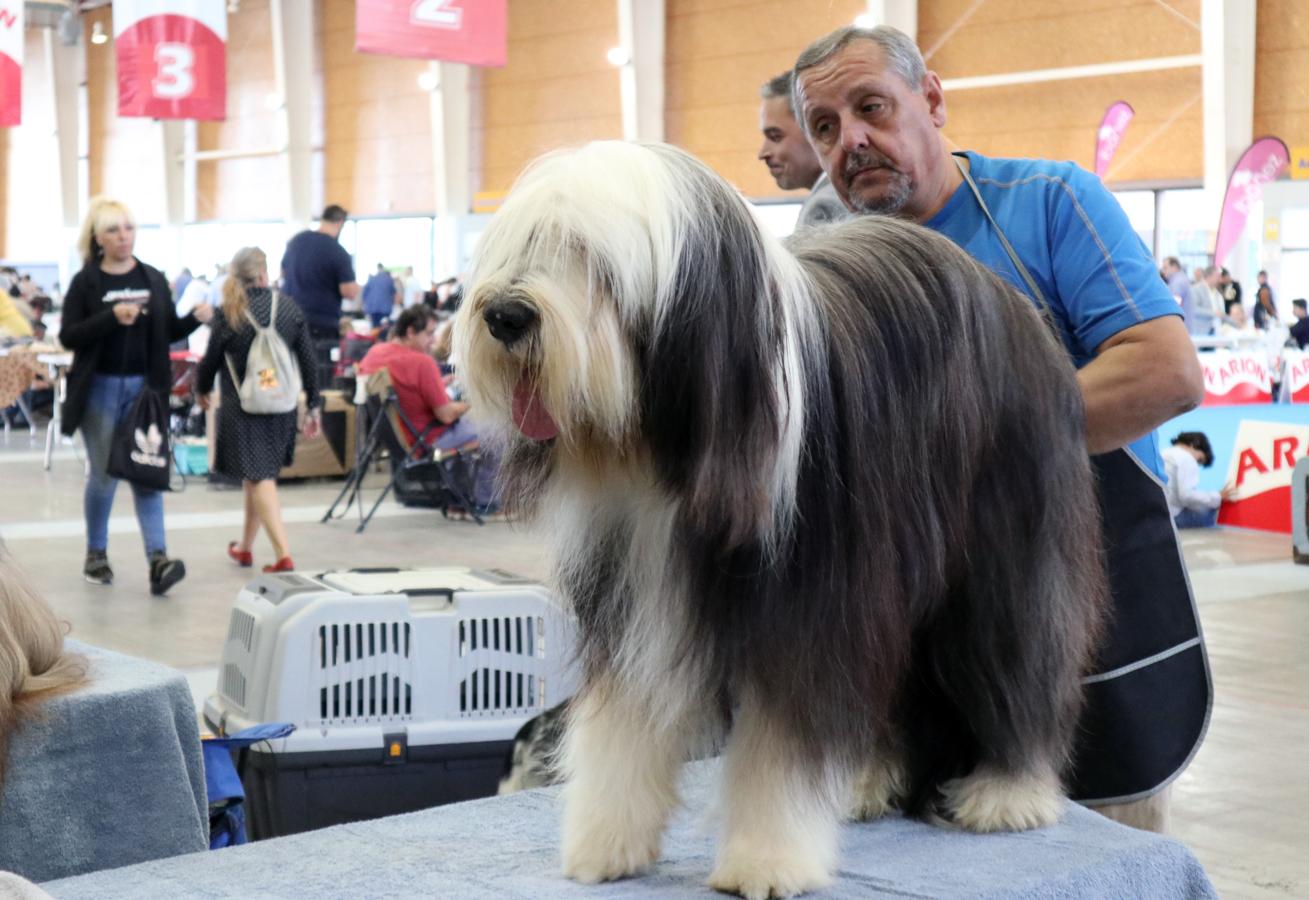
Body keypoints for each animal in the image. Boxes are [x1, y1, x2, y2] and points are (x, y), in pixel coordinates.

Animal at [455, 143, 1110, 894]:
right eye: (530, 244)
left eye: (595, 261)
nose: (505, 315)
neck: (666, 451)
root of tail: (1012, 304)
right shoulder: (633, 591)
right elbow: (624, 720)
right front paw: (605, 844)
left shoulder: (810, 604)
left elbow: (779, 744)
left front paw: (765, 862)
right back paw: (865, 783)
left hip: (1004, 550)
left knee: (1014, 654)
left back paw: (1008, 792)